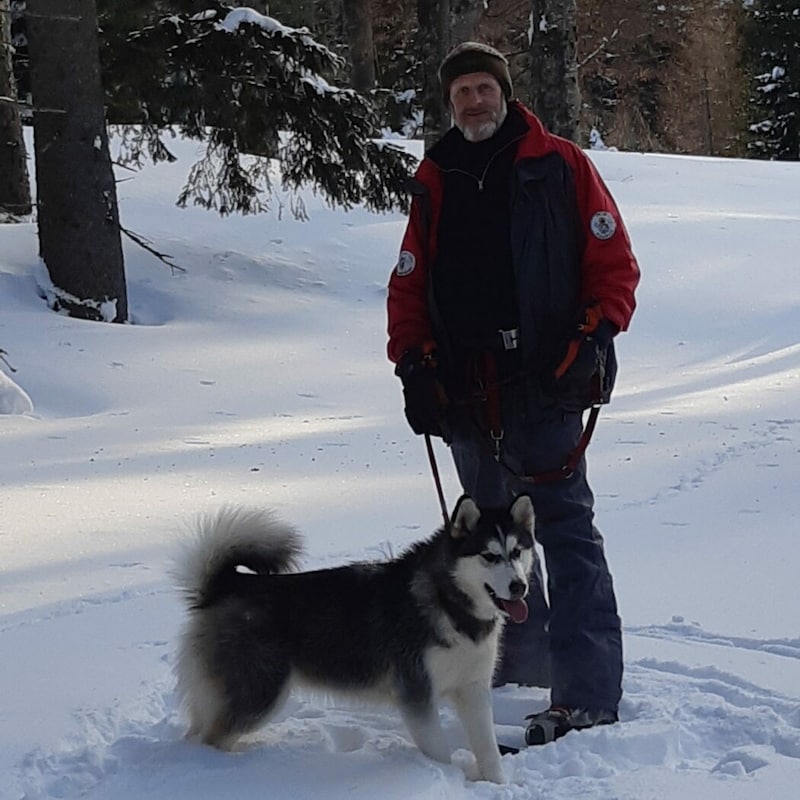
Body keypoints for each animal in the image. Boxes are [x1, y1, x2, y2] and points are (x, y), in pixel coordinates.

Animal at [175, 494, 536, 780]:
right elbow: (439, 752)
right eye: (489, 556)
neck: (450, 603)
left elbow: (488, 751)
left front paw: (495, 785)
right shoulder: (416, 692)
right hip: (260, 692)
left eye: (518, 551)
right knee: (212, 738)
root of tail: (229, 585)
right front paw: (445, 777)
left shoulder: (473, 688)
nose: (519, 586)